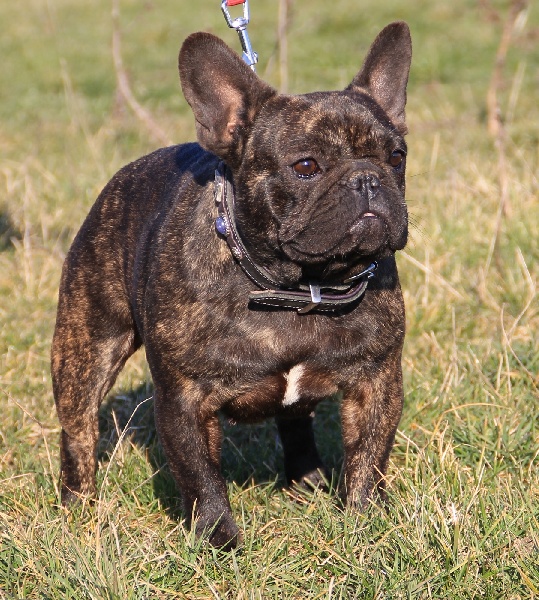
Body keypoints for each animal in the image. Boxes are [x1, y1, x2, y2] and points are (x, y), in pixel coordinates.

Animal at [51, 22, 414, 548]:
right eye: (306, 166)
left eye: (397, 156)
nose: (367, 178)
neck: (298, 288)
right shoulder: (186, 401)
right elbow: (202, 476)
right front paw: (219, 541)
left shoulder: (376, 382)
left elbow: (368, 457)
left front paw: (365, 524)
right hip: (88, 345)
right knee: (78, 427)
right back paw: (78, 507)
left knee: (296, 422)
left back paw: (308, 481)